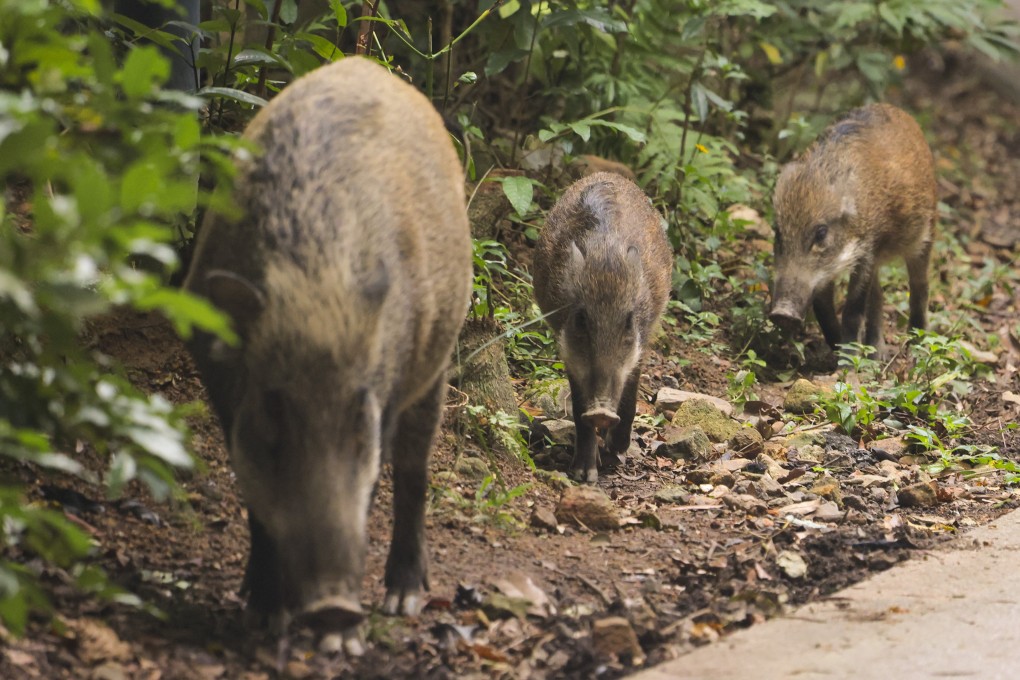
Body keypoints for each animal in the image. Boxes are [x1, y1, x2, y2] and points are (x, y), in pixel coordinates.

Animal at [183, 57, 472, 652]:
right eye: (273, 408)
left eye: (359, 415)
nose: (334, 607)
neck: (315, 277)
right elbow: (255, 501)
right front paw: (263, 617)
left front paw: (342, 644)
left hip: (437, 361)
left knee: (415, 473)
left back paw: (403, 599)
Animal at [533, 172, 673, 483]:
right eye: (581, 318)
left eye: (628, 320)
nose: (601, 413)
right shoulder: (569, 352)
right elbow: (577, 409)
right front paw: (584, 474)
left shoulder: (641, 345)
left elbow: (631, 398)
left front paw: (615, 452)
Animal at [770, 102, 937, 353]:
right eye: (778, 233)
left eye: (821, 232)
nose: (782, 313)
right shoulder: (828, 272)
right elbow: (823, 307)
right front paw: (838, 348)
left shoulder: (867, 249)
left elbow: (853, 310)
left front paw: (846, 358)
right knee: (878, 296)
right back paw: (877, 354)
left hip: (926, 233)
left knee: (920, 287)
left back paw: (915, 348)